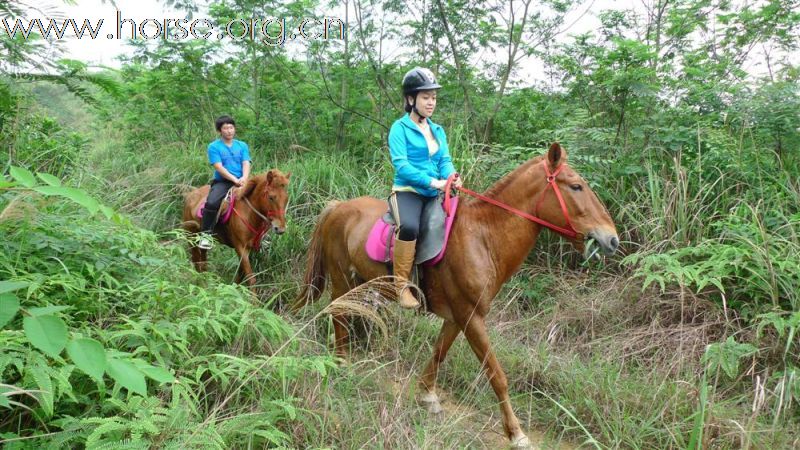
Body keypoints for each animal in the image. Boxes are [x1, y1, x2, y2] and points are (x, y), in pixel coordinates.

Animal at [294, 145, 620, 450]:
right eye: (576, 186)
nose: (612, 239)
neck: (483, 238)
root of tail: (338, 207)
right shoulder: (471, 317)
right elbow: (496, 375)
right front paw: (516, 433)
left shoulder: (458, 316)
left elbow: (439, 352)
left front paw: (427, 395)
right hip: (341, 279)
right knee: (339, 313)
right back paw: (342, 363)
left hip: (359, 283)